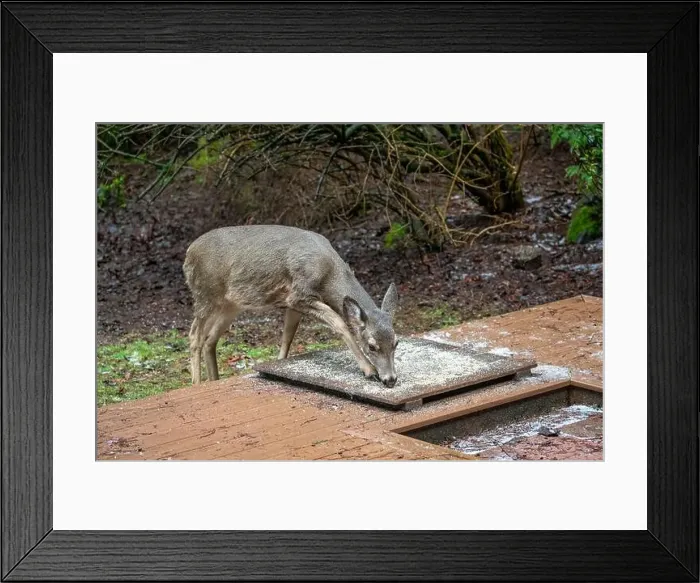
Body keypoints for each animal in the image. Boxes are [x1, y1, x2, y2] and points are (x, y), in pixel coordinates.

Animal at [183, 225, 400, 388]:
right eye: (371, 346)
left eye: (396, 343)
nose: (390, 379)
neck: (328, 274)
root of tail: (188, 253)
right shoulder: (298, 295)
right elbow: (339, 322)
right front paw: (369, 370)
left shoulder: (293, 305)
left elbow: (288, 336)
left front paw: (279, 364)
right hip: (205, 293)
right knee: (195, 335)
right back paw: (197, 384)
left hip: (230, 304)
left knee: (210, 339)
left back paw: (214, 380)